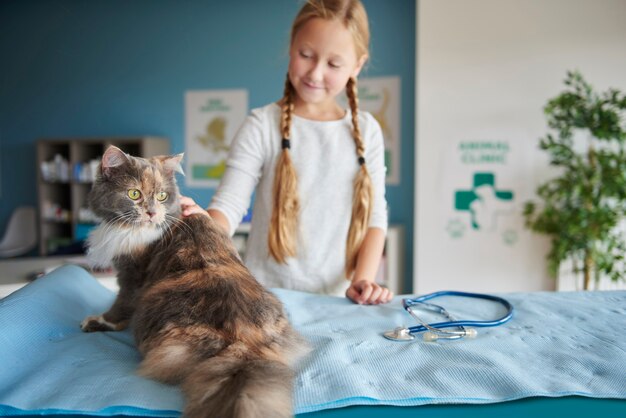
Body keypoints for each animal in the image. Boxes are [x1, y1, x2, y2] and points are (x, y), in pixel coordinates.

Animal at [81, 146, 308, 418]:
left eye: (161, 196)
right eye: (134, 194)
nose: (152, 213)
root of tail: (241, 338)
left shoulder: (131, 275)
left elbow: (119, 305)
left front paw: (100, 321)